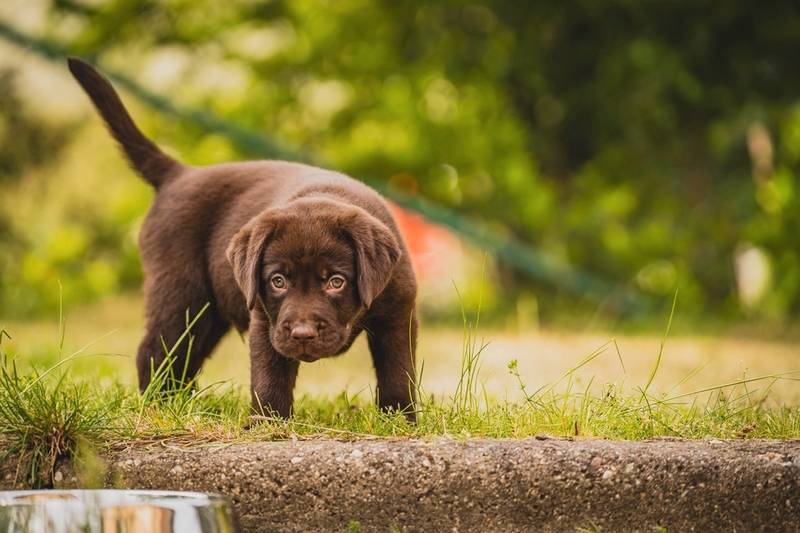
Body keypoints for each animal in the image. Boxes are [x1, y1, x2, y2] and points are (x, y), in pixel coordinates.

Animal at [67, 56, 418, 418]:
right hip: (180, 294)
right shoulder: (265, 319)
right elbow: (270, 376)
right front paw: (268, 421)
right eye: (278, 281)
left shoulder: (398, 315)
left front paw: (400, 418)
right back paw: (160, 407)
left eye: (336, 282)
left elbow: (397, 371)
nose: (303, 334)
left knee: (186, 357)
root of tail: (180, 174)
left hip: (208, 313)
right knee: (155, 351)